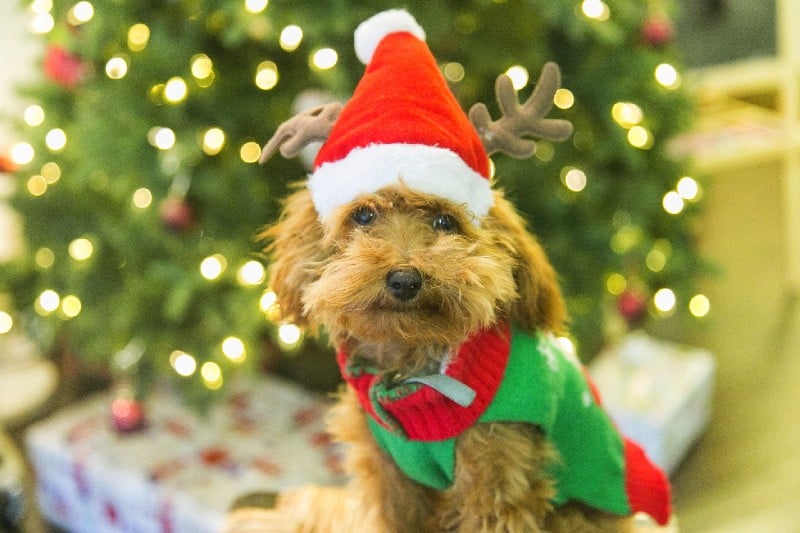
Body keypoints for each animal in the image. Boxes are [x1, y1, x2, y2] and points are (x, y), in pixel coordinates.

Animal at [228, 8, 672, 532]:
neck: (415, 372)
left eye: (444, 221)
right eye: (364, 215)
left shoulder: (497, 478)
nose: (404, 279)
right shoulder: (390, 473)